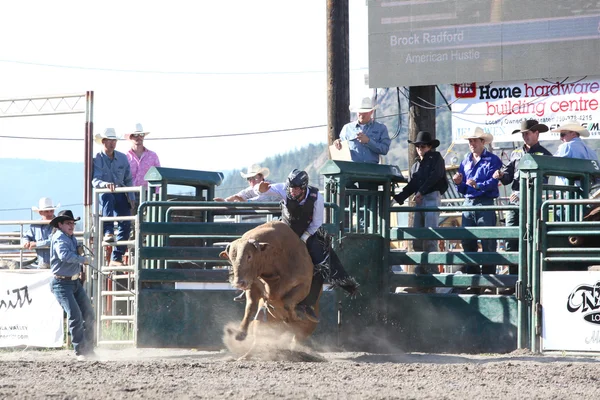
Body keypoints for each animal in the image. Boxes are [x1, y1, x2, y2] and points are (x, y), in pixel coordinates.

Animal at [219, 220, 322, 348]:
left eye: (249, 256)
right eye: (231, 259)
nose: (239, 283)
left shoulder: (303, 285)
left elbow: (288, 303)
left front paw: (296, 316)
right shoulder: (253, 285)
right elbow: (250, 306)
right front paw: (240, 333)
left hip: (305, 330)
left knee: (296, 339)